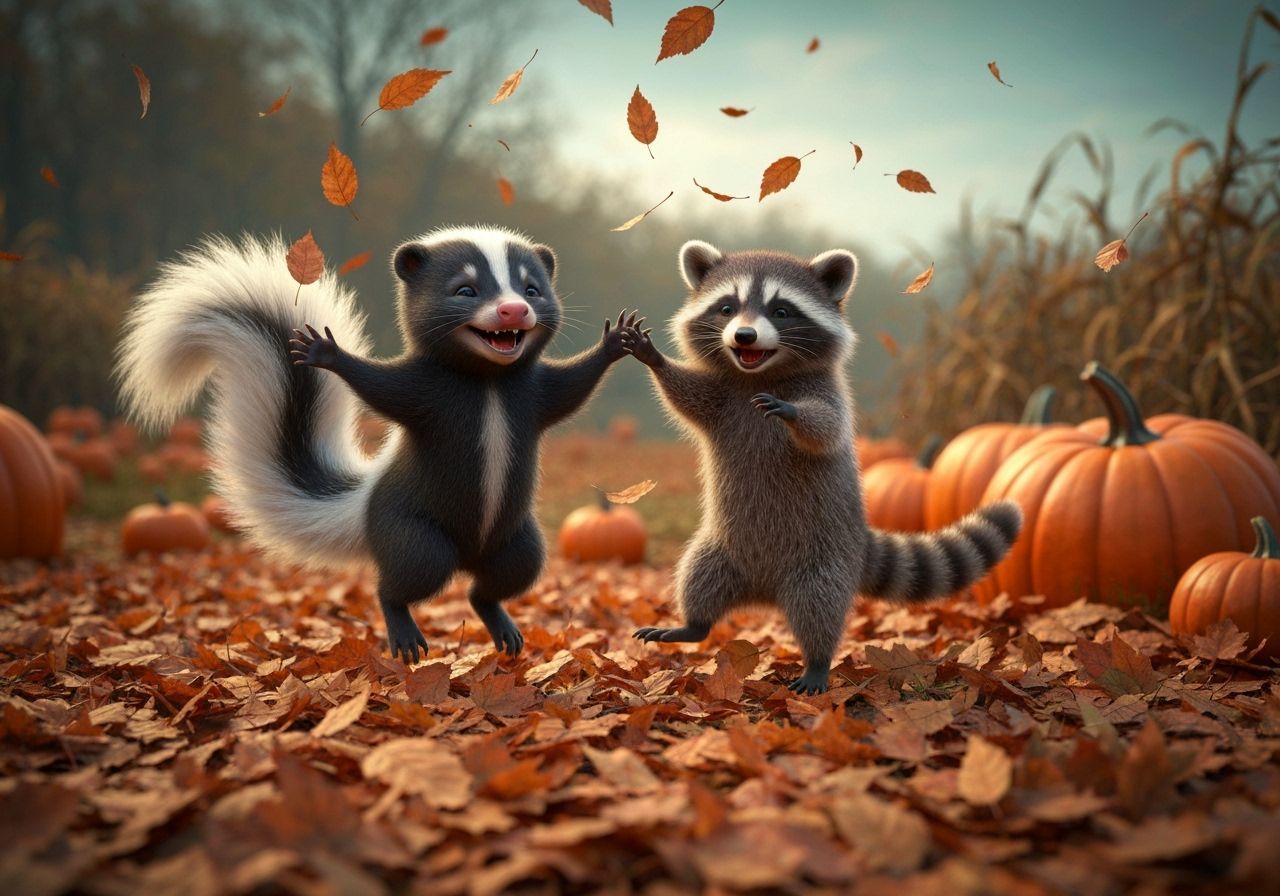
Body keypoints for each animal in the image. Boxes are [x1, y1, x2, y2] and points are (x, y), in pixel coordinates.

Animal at [618, 240, 1022, 694]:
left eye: (781, 311)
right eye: (727, 308)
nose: (744, 335)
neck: (760, 372)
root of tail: (764, 591)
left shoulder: (827, 394)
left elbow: (825, 429)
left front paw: (792, 412)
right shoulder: (723, 397)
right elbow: (685, 396)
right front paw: (655, 359)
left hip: (822, 559)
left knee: (819, 608)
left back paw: (817, 661)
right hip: (719, 549)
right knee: (697, 577)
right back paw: (693, 624)